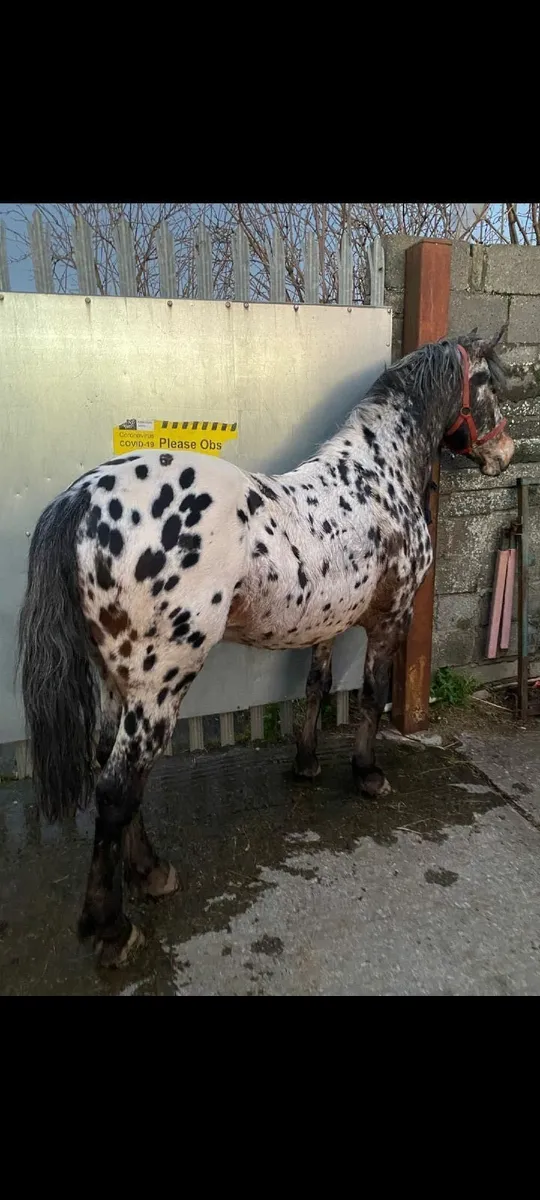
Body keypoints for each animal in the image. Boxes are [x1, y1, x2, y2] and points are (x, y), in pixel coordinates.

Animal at [17, 326, 514, 967]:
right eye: (490, 385)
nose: (505, 456)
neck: (378, 472)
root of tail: (81, 498)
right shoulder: (391, 619)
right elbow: (372, 694)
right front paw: (368, 775)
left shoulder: (327, 622)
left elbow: (317, 687)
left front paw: (305, 764)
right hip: (159, 685)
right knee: (116, 788)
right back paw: (113, 926)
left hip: (115, 678)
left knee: (114, 770)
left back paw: (151, 873)